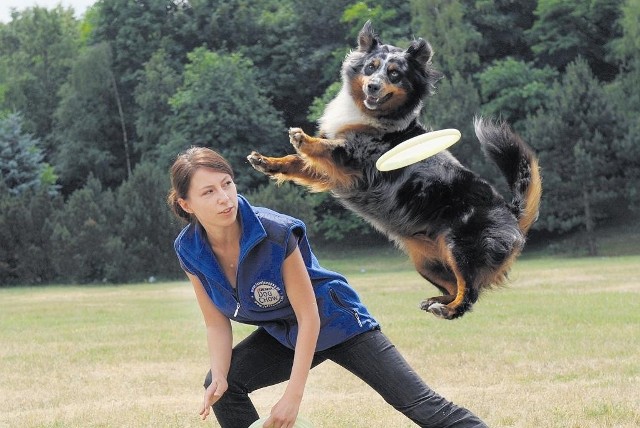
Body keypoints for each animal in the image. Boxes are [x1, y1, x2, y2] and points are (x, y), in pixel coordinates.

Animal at [245, 21, 540, 320]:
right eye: (370, 67)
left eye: (395, 74)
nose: (373, 86)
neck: (373, 119)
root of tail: (512, 214)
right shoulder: (331, 175)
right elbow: (296, 162)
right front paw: (267, 161)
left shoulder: (354, 162)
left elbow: (325, 148)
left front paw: (304, 139)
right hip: (426, 261)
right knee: (454, 285)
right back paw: (437, 301)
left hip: (462, 248)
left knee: (469, 291)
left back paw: (448, 309)